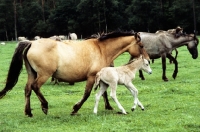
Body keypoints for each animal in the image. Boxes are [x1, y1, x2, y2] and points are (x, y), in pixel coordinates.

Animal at [0, 30, 150, 116]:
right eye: (142, 46)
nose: (148, 59)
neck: (101, 49)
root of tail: (31, 43)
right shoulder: (92, 77)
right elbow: (87, 94)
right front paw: (75, 108)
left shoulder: (101, 77)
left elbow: (104, 93)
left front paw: (108, 107)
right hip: (43, 74)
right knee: (35, 87)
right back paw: (45, 106)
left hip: (32, 73)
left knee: (27, 90)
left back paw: (28, 112)